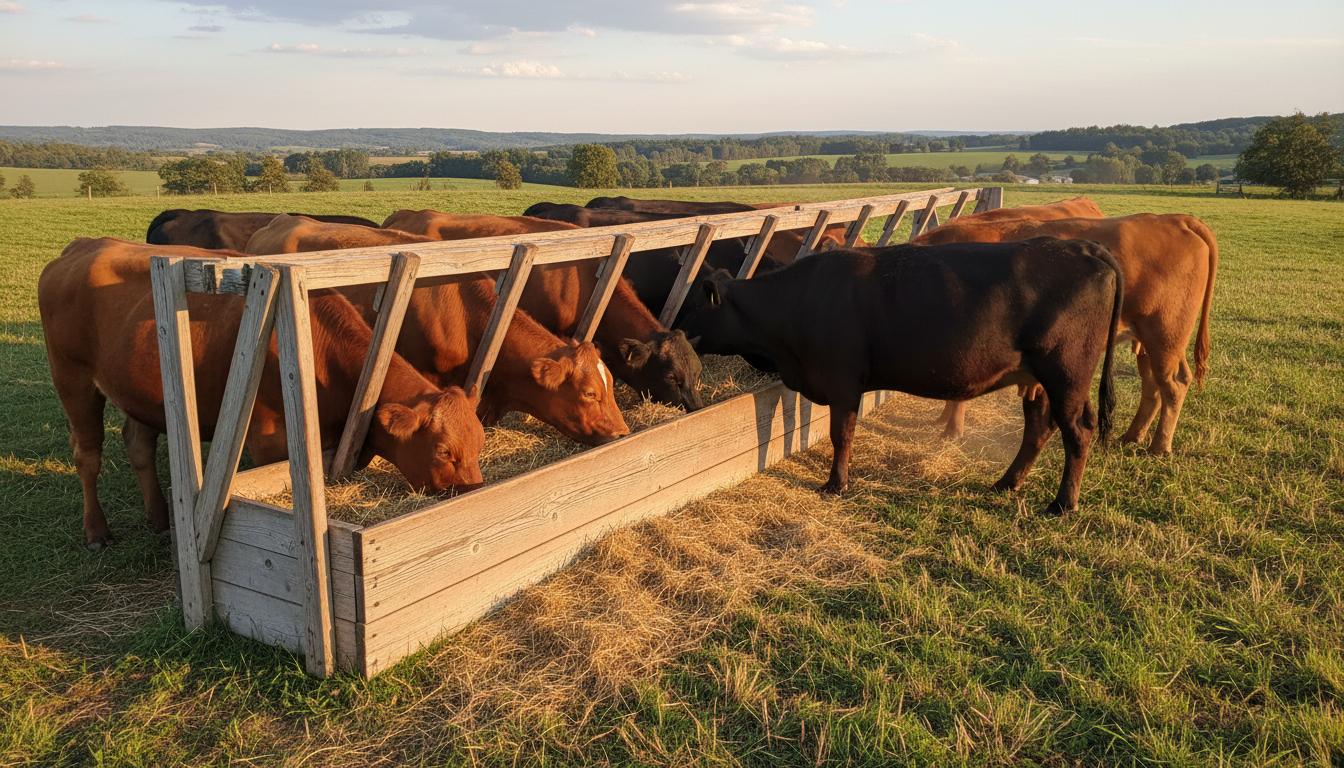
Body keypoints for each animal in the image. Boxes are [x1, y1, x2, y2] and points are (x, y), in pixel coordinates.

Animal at [38, 238, 486, 550]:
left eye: (479, 443)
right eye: (443, 451)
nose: (474, 491)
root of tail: (83, 245)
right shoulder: (268, 439)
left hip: (140, 393)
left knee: (137, 446)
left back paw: (161, 522)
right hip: (72, 378)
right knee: (87, 456)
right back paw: (97, 531)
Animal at [677, 237, 1123, 515]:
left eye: (693, 307)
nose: (672, 329)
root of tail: (1082, 247)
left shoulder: (842, 382)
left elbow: (842, 434)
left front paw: (835, 484)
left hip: (1066, 373)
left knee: (1077, 431)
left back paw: (1063, 504)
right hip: (1037, 379)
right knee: (1038, 427)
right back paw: (1006, 483)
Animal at [915, 214, 1218, 454]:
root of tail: (1175, 218)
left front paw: (951, 431)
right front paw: (943, 420)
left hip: (1165, 336)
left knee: (1174, 385)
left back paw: (1159, 446)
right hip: (1148, 341)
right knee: (1154, 386)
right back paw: (1132, 436)